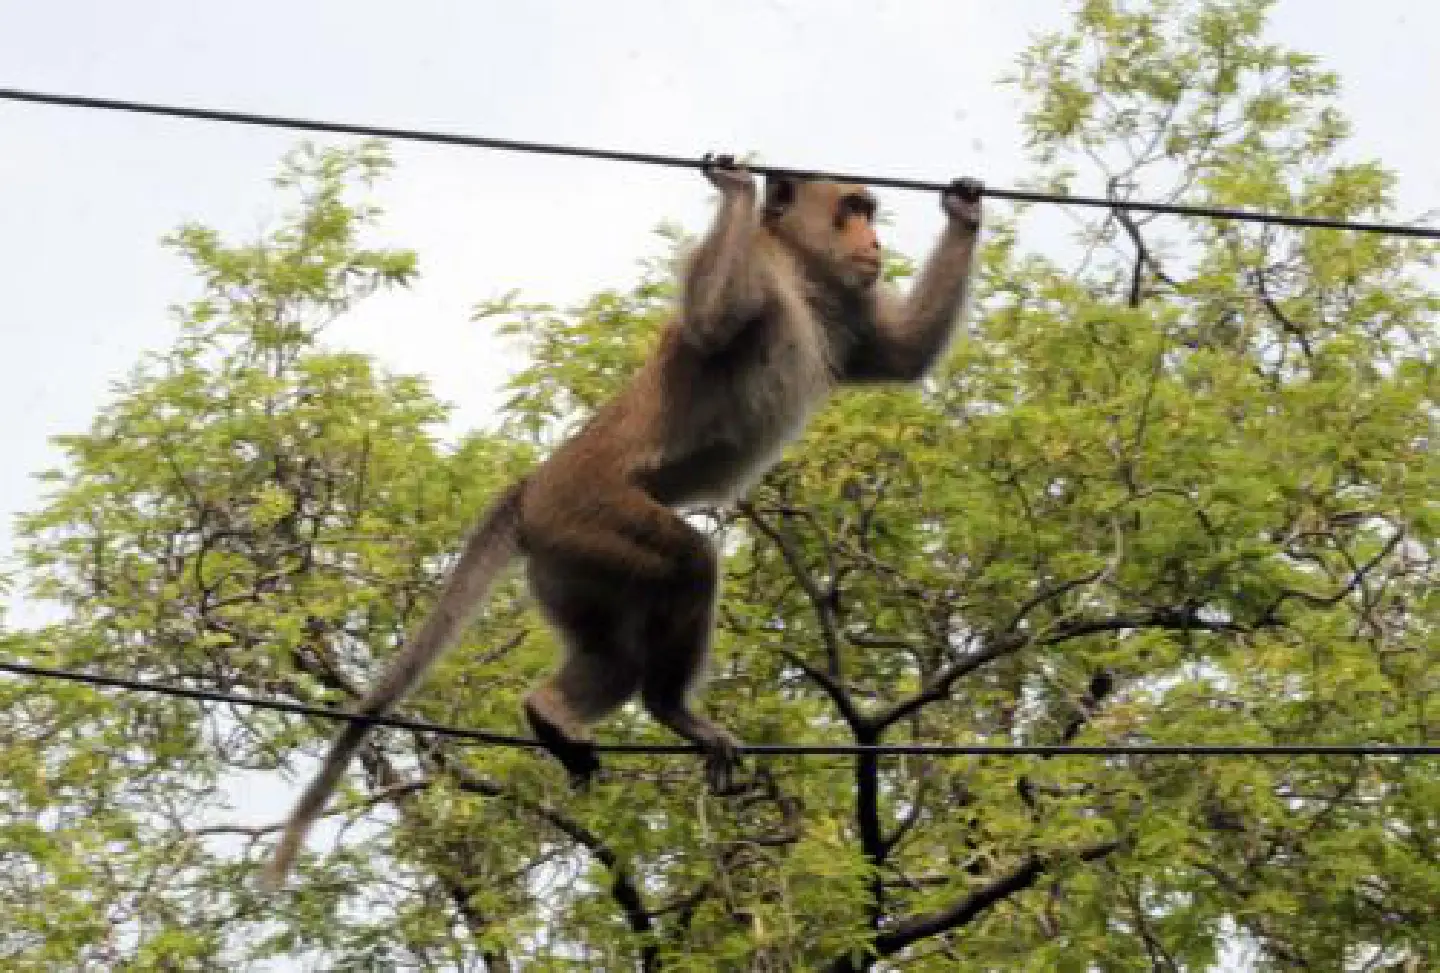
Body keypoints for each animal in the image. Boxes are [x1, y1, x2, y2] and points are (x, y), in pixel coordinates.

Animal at [263, 155, 984, 887]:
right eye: (850, 210)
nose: (872, 240)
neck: (798, 272)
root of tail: (532, 487)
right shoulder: (759, 273)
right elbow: (715, 321)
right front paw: (736, 188)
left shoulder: (847, 304)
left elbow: (906, 354)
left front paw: (965, 209)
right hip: (588, 516)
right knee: (689, 565)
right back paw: (669, 708)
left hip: (564, 565)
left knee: (615, 650)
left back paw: (550, 709)